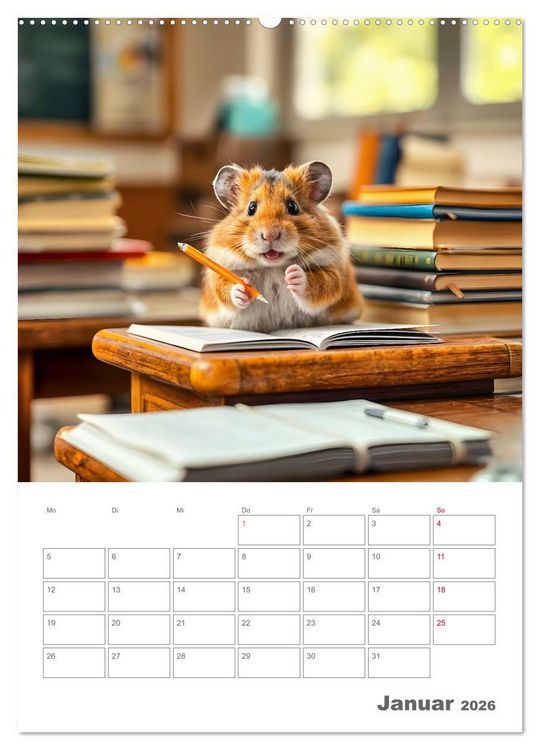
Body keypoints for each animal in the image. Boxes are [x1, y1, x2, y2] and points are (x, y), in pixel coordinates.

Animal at [200, 161, 363, 332]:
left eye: (293, 206)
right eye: (251, 208)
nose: (270, 235)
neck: (272, 267)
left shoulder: (332, 271)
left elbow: (323, 284)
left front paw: (293, 275)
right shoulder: (220, 272)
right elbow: (225, 288)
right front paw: (242, 288)